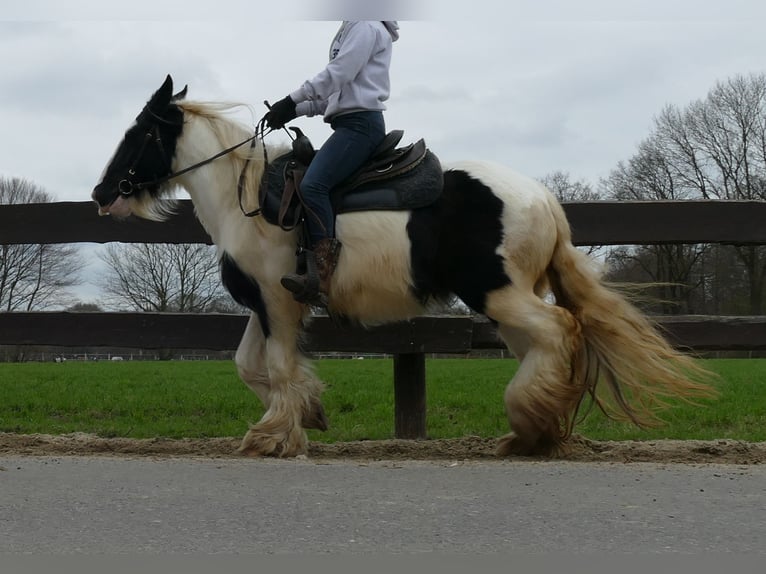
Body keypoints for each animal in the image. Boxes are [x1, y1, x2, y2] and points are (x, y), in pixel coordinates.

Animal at [93, 75, 716, 460]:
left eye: (140, 132)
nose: (102, 193)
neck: (243, 194)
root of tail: (544, 201)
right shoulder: (268, 303)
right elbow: (251, 366)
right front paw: (308, 415)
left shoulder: (278, 301)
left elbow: (277, 366)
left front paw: (276, 435)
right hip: (506, 301)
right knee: (545, 346)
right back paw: (536, 429)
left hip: (497, 293)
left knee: (560, 332)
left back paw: (528, 428)